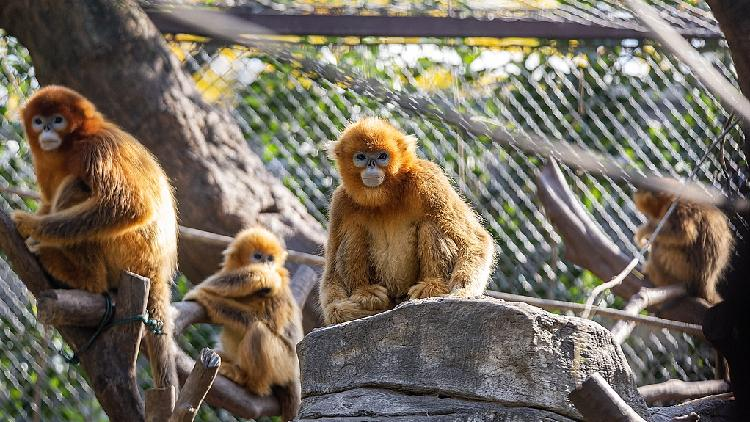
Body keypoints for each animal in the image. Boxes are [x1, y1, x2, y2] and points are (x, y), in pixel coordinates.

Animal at [11, 85, 179, 390]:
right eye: (39, 121)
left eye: (58, 120)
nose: (46, 131)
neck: (71, 145)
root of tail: (157, 271)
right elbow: (48, 202)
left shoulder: (98, 148)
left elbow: (131, 206)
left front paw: (30, 226)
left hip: (129, 253)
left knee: (78, 185)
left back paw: (79, 275)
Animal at [184, 227, 303, 421]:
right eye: (258, 256)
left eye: (270, 258)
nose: (267, 265)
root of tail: (294, 372)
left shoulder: (277, 289)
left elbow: (258, 320)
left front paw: (203, 295)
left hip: (283, 363)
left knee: (258, 331)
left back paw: (250, 383)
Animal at [319, 118, 495, 325]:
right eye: (361, 157)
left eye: (382, 156)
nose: (371, 165)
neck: (385, 199)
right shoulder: (340, 202)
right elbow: (331, 274)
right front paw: (338, 311)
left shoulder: (428, 178)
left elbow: (475, 239)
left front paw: (462, 292)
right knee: (354, 231)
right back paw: (365, 292)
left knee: (431, 224)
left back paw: (432, 285)